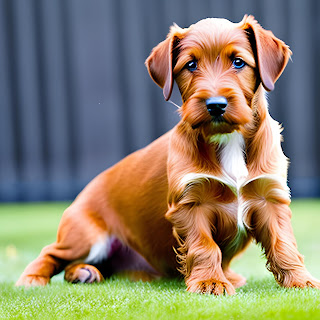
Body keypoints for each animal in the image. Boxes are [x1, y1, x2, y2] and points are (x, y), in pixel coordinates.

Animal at [16, 15, 320, 296]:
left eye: (238, 62)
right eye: (191, 65)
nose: (215, 105)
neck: (227, 139)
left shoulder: (270, 198)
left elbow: (283, 243)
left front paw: (300, 280)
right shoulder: (191, 203)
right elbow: (204, 246)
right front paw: (210, 282)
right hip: (86, 235)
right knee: (53, 253)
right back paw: (34, 278)